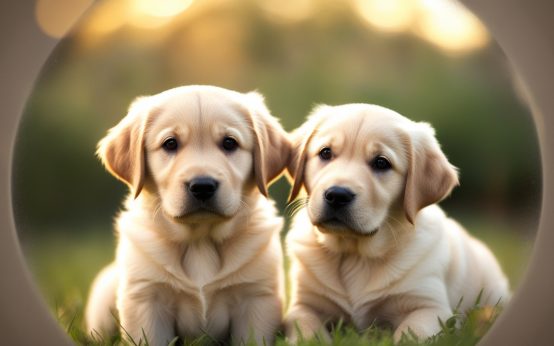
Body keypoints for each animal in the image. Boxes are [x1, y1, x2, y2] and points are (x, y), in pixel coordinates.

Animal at [85, 85, 288, 344]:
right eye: (170, 144)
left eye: (229, 143)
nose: (202, 186)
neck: (200, 239)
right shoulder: (146, 299)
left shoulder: (256, 298)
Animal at [284, 104, 508, 342]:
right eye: (325, 153)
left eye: (381, 163)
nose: (337, 195)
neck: (355, 254)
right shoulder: (303, 305)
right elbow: (307, 331)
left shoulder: (430, 308)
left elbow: (411, 334)